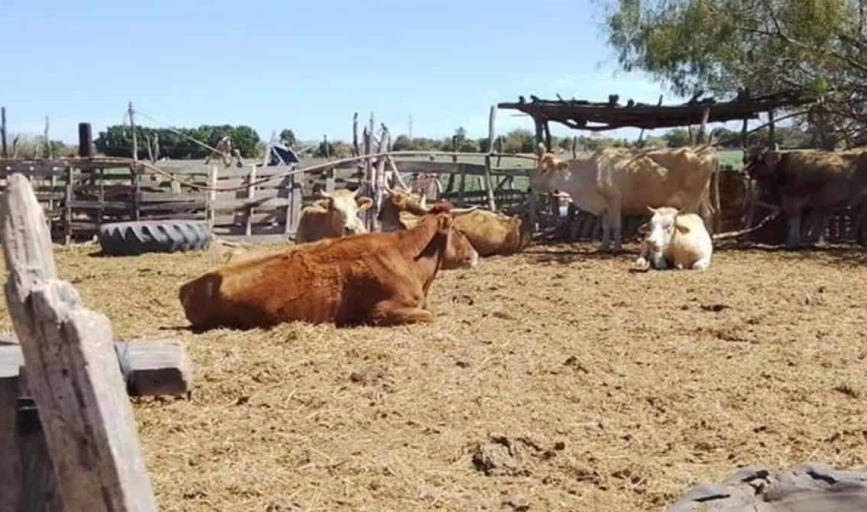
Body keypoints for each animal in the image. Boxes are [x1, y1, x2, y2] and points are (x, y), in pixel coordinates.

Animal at [181, 207, 482, 328]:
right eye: (458, 230)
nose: (475, 254)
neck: (407, 255)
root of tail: (189, 286)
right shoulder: (383, 310)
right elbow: (429, 315)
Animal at [532, 146, 716, 252]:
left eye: (544, 170)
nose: (532, 185)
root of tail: (704, 150)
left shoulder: (615, 200)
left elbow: (616, 225)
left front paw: (616, 248)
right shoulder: (605, 206)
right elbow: (606, 226)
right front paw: (603, 247)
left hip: (692, 197)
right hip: (702, 197)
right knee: (708, 215)